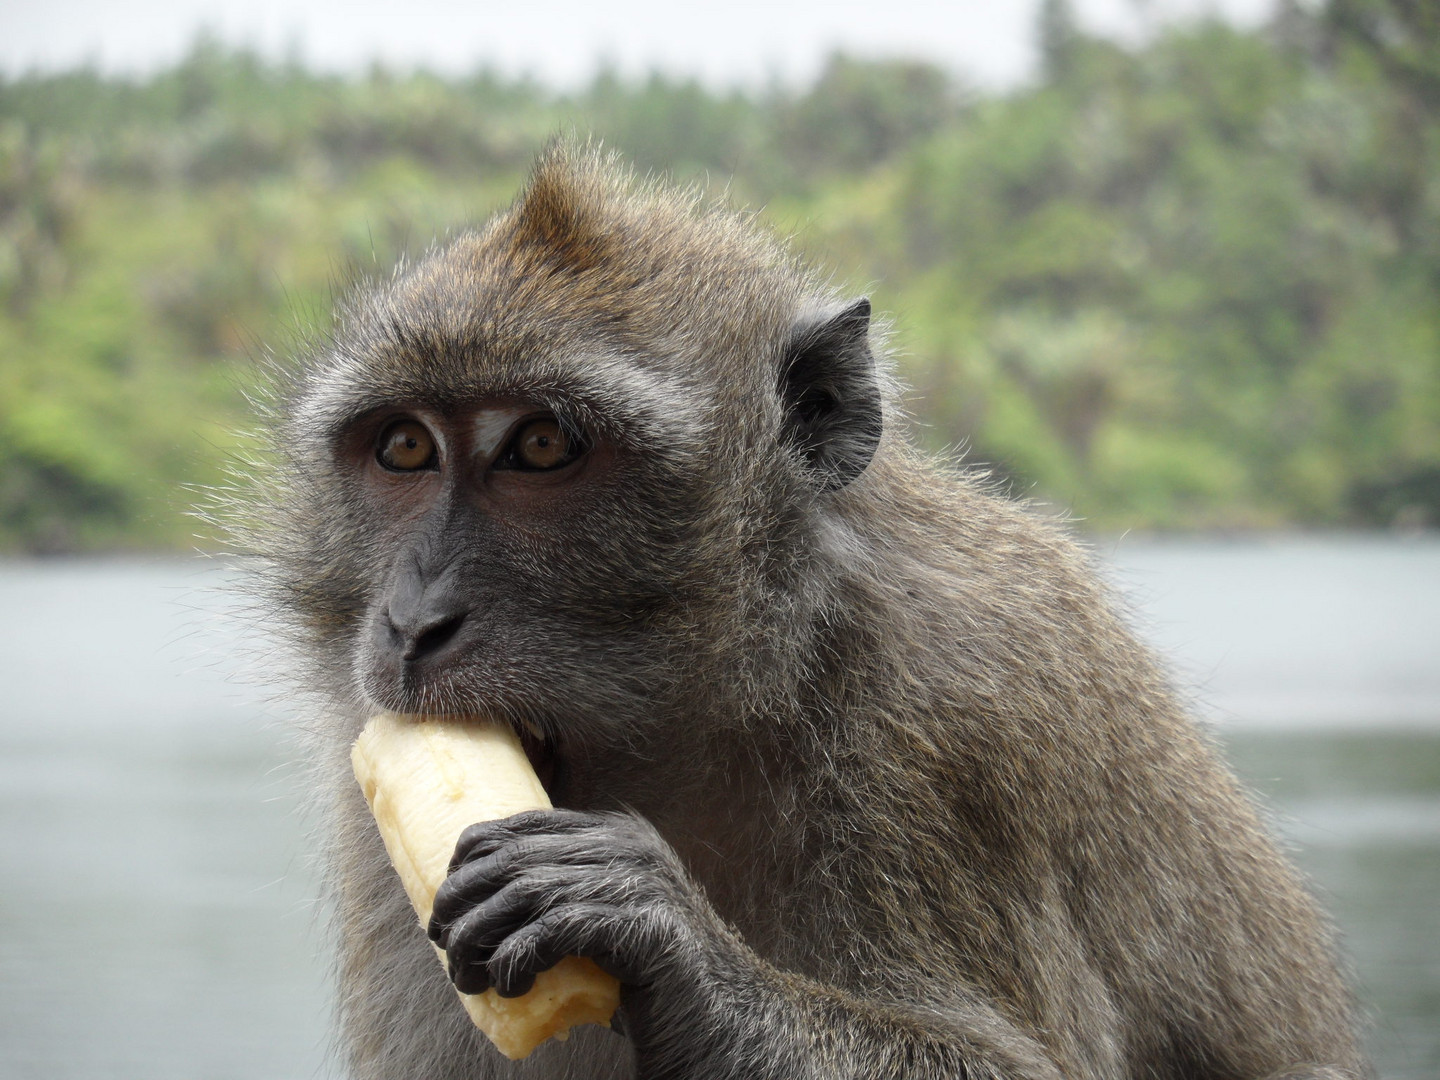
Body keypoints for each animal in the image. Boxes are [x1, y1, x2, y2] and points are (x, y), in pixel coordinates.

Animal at [244, 146, 1370, 1080]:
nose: (414, 622)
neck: (734, 692)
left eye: (542, 446)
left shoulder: (955, 728)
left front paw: (663, 940)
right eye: (404, 448)